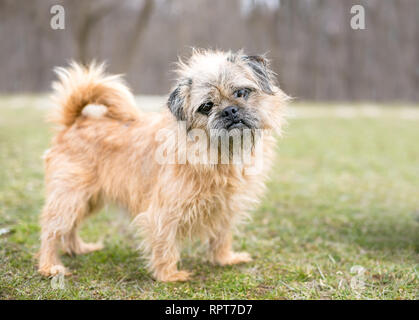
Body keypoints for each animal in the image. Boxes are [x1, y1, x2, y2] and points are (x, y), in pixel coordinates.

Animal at [38, 48, 288, 282]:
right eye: (206, 107)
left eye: (241, 93)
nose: (229, 110)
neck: (218, 153)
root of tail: (75, 121)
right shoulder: (164, 211)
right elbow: (165, 242)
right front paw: (169, 275)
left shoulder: (225, 206)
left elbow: (221, 236)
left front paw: (224, 259)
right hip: (70, 196)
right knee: (52, 229)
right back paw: (50, 266)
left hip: (88, 199)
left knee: (70, 227)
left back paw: (77, 248)